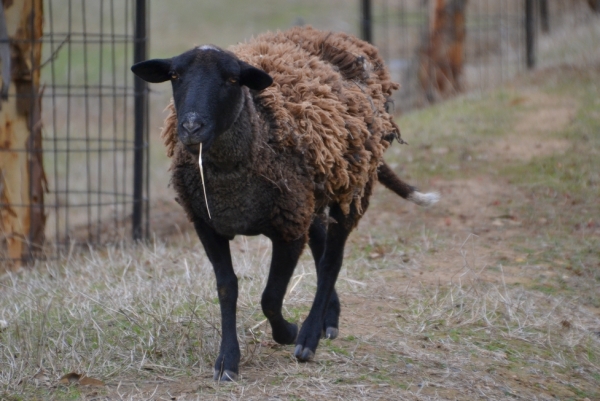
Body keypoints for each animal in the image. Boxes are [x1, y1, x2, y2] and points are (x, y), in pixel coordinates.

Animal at [131, 26, 438, 380]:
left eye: (232, 79)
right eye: (175, 76)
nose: (192, 126)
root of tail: (341, 37)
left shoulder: (288, 230)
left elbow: (271, 296)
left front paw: (288, 332)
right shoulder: (207, 223)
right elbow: (227, 288)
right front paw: (227, 361)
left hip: (353, 187)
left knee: (332, 259)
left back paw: (308, 338)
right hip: (313, 196)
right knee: (321, 246)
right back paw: (328, 320)